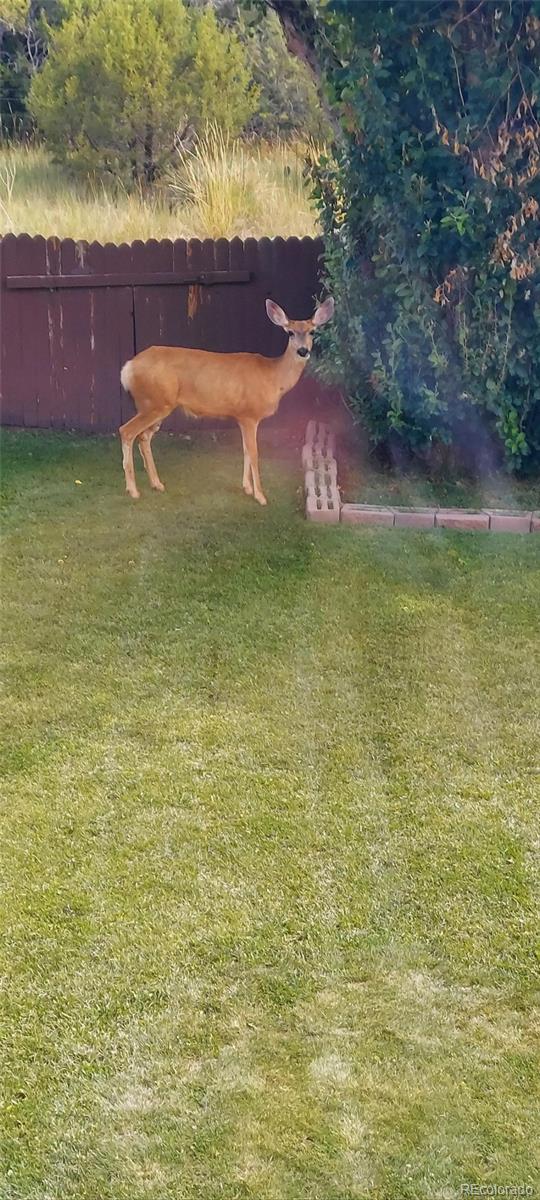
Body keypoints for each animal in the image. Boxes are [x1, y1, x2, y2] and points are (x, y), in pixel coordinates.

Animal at [120, 300, 336, 511]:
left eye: (312, 331)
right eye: (290, 332)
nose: (303, 351)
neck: (273, 377)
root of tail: (127, 368)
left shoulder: (241, 416)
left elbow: (246, 450)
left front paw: (247, 487)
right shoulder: (250, 415)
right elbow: (254, 453)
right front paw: (260, 496)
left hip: (156, 405)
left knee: (143, 437)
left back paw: (156, 484)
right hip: (154, 403)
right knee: (127, 431)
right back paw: (133, 490)